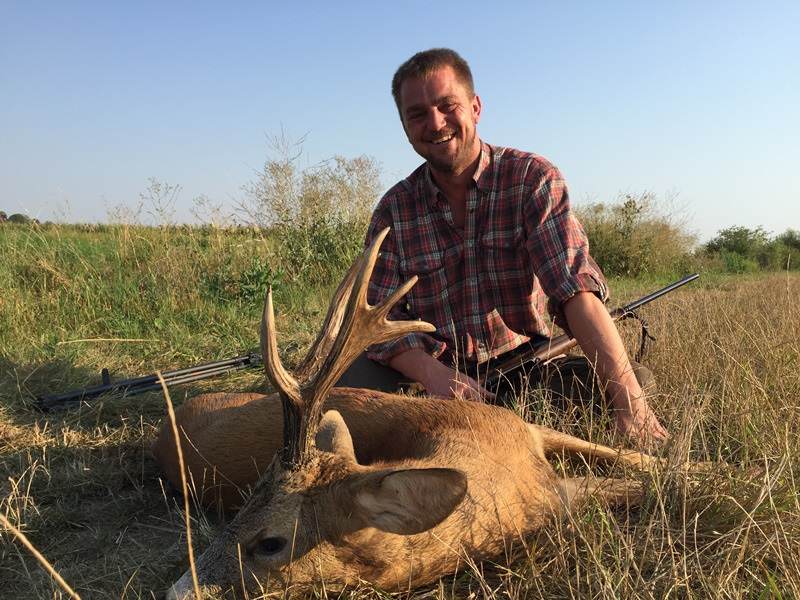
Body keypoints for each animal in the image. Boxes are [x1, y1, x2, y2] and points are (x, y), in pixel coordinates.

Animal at [159, 227, 664, 596]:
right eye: (237, 512)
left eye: (269, 542)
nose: (177, 592)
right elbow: (628, 482)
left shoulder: (520, 424)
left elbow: (635, 459)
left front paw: (672, 457)